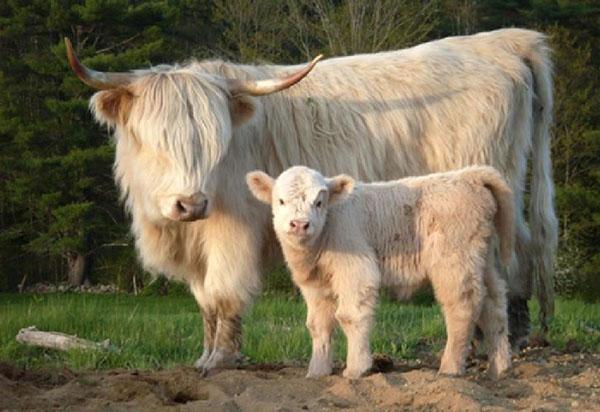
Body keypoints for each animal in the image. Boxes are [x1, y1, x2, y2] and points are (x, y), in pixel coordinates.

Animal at [246, 166, 512, 378]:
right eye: (280, 201)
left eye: (319, 202)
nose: (300, 224)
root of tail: (470, 175)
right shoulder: (315, 285)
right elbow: (317, 324)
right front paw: (317, 372)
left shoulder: (356, 270)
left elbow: (350, 316)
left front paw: (356, 369)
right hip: (483, 261)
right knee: (494, 305)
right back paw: (499, 369)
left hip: (454, 262)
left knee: (462, 306)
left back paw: (450, 368)